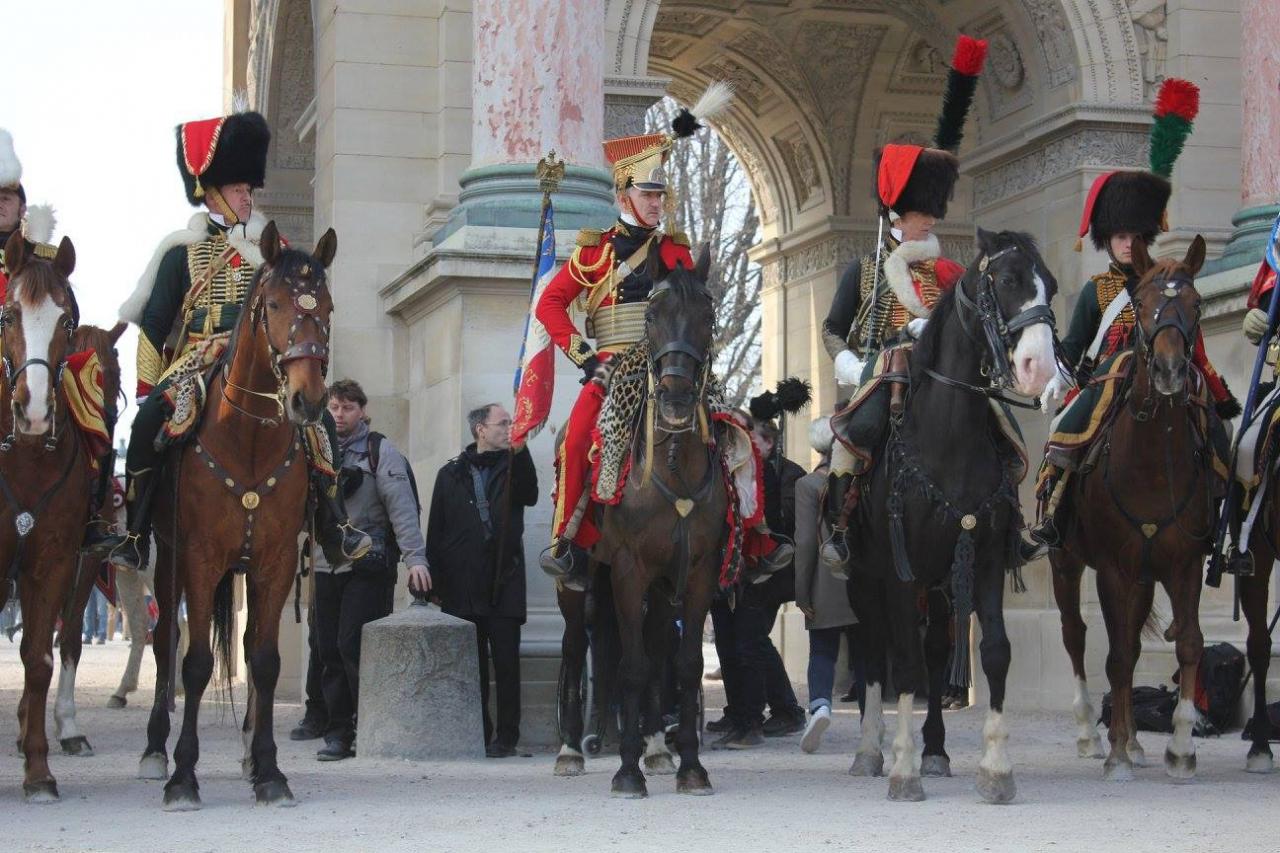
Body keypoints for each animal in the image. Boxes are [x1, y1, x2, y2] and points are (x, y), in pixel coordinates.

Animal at [137, 220, 337, 804]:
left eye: (327, 307)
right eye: (272, 304)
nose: (308, 401)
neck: (247, 441)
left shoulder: (274, 562)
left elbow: (264, 661)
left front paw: (268, 770)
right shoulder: (200, 560)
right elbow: (196, 663)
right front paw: (183, 774)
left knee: (245, 648)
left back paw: (248, 752)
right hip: (167, 564)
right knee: (165, 643)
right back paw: (154, 750)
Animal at [586, 239, 727, 799]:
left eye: (708, 315)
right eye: (650, 314)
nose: (675, 397)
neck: (671, 464)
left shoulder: (697, 572)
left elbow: (684, 665)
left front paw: (691, 764)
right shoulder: (627, 570)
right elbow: (630, 666)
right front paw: (626, 772)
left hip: (663, 586)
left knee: (656, 649)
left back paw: (655, 748)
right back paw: (577, 749)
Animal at [839, 225, 1059, 799]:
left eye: (1049, 284)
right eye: (1006, 280)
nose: (1040, 368)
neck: (949, 437)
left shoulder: (982, 558)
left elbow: (995, 651)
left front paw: (996, 768)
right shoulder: (900, 570)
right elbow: (903, 664)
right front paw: (902, 769)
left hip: (940, 584)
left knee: (938, 652)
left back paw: (935, 750)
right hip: (866, 578)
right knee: (874, 653)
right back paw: (870, 750)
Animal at [1049, 233, 1218, 778]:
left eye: (1196, 303)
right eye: (1141, 304)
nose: (1168, 371)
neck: (1152, 463)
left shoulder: (1184, 563)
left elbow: (1187, 644)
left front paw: (1180, 747)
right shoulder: (1111, 568)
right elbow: (1117, 655)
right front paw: (1116, 753)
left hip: (1145, 577)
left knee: (1133, 638)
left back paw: (1135, 739)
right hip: (1066, 562)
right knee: (1076, 635)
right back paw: (1093, 734)